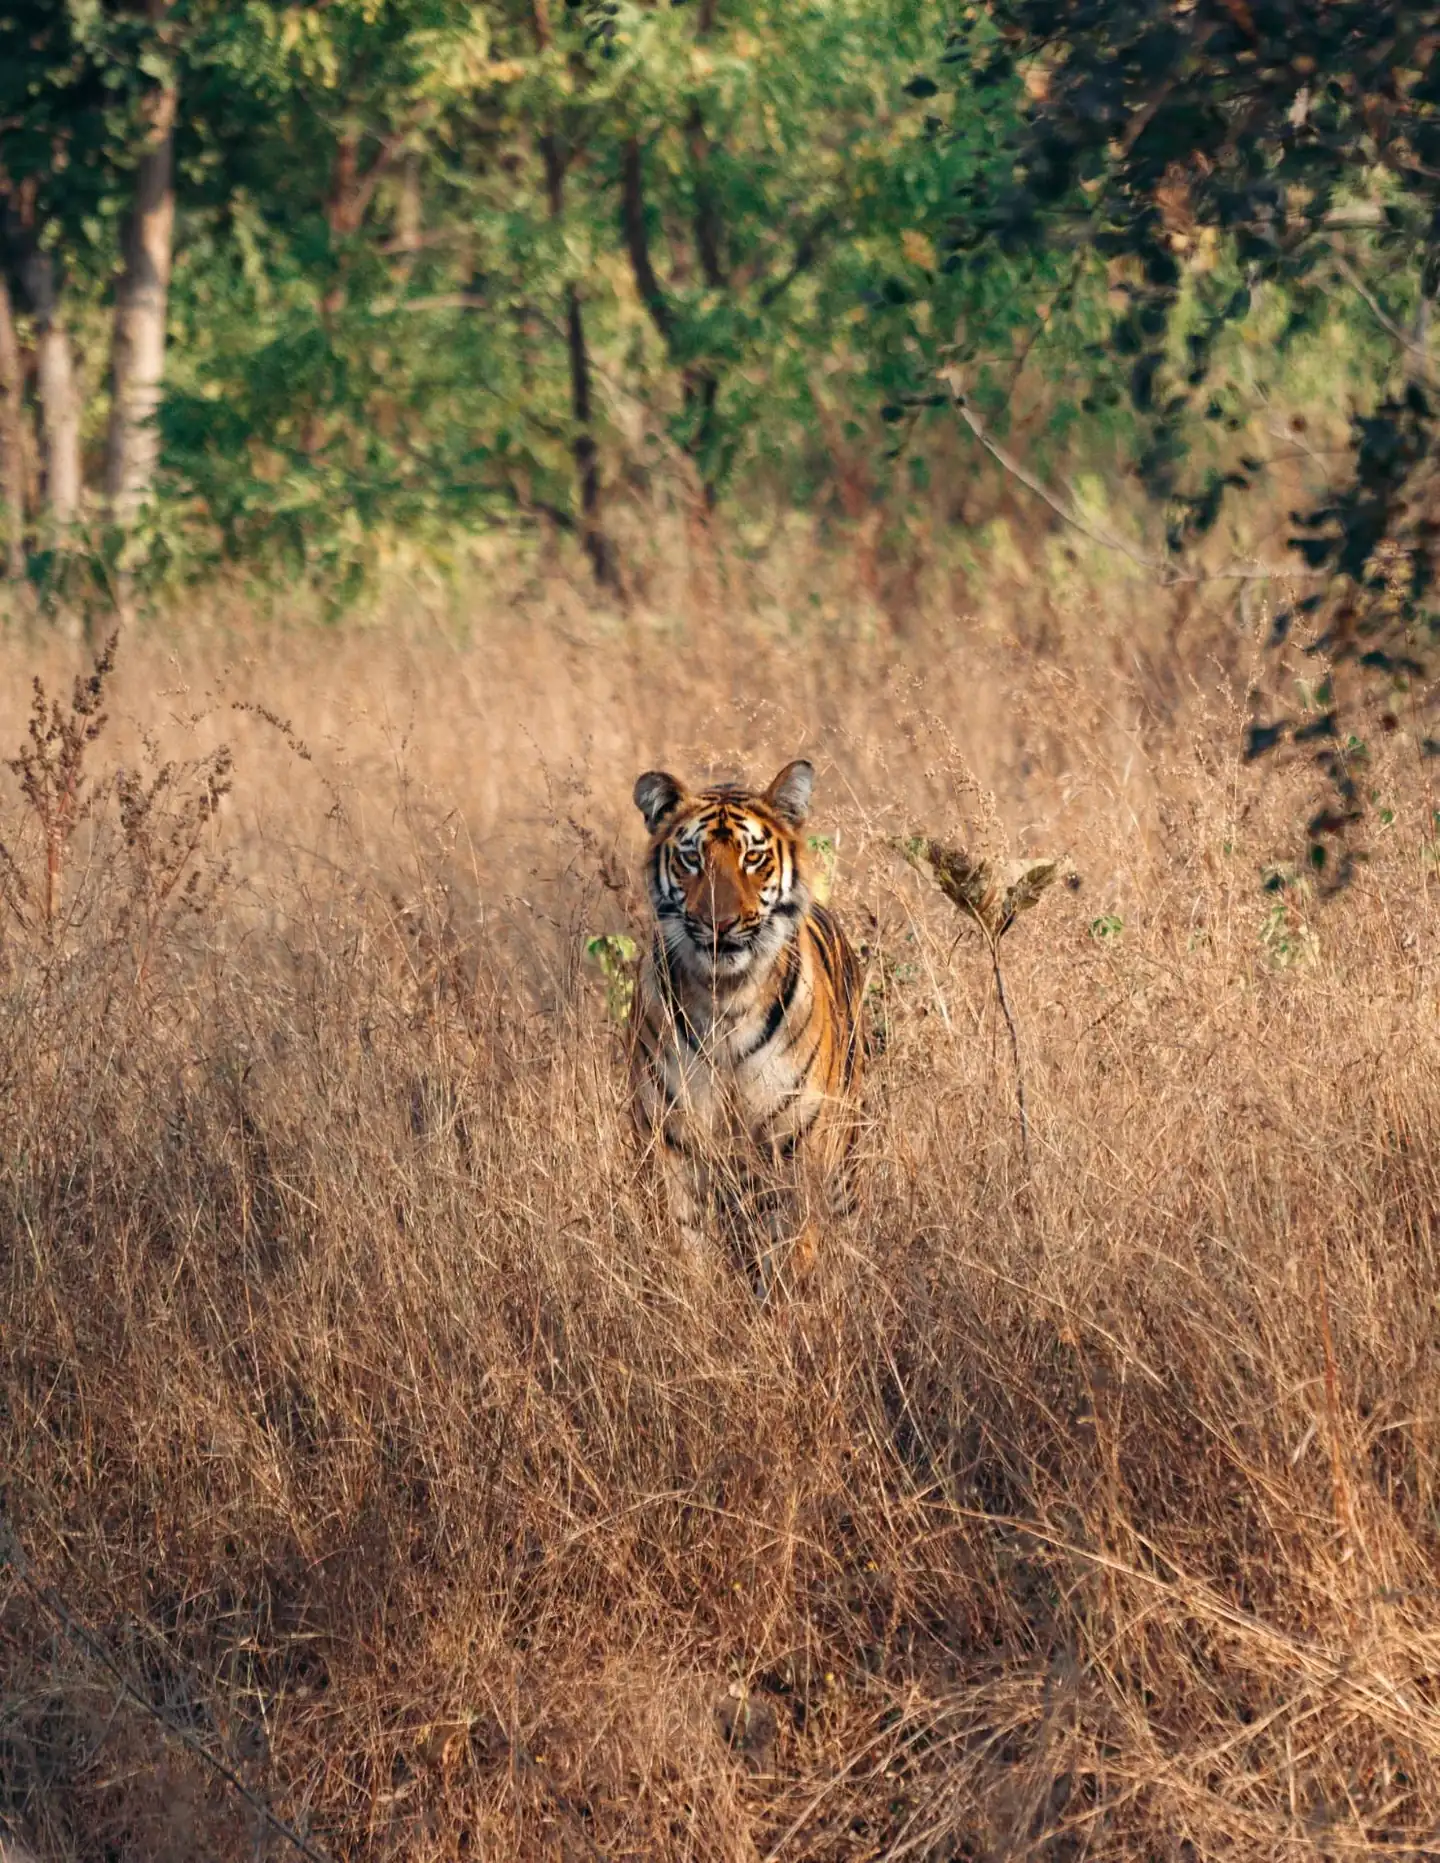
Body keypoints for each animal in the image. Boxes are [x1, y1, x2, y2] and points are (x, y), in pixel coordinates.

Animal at [628, 757, 864, 1290]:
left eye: (753, 858)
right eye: (691, 859)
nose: (720, 924)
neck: (726, 1000)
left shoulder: (795, 1144)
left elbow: (791, 1251)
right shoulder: (674, 1142)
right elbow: (687, 1247)